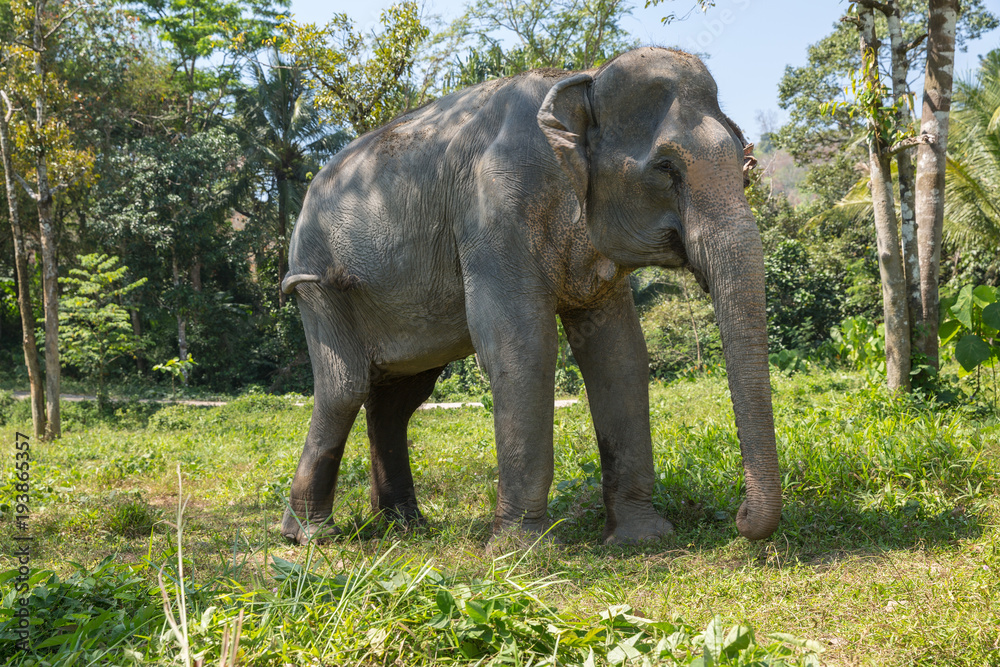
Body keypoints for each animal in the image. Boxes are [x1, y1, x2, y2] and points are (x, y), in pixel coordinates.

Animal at [279, 46, 781, 546]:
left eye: (745, 166)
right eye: (665, 168)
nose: (739, 518)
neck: (582, 79)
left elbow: (619, 354)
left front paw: (642, 538)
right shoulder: (494, 213)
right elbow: (522, 348)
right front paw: (522, 549)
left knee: (398, 400)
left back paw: (405, 526)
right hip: (318, 289)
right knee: (344, 389)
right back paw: (311, 536)